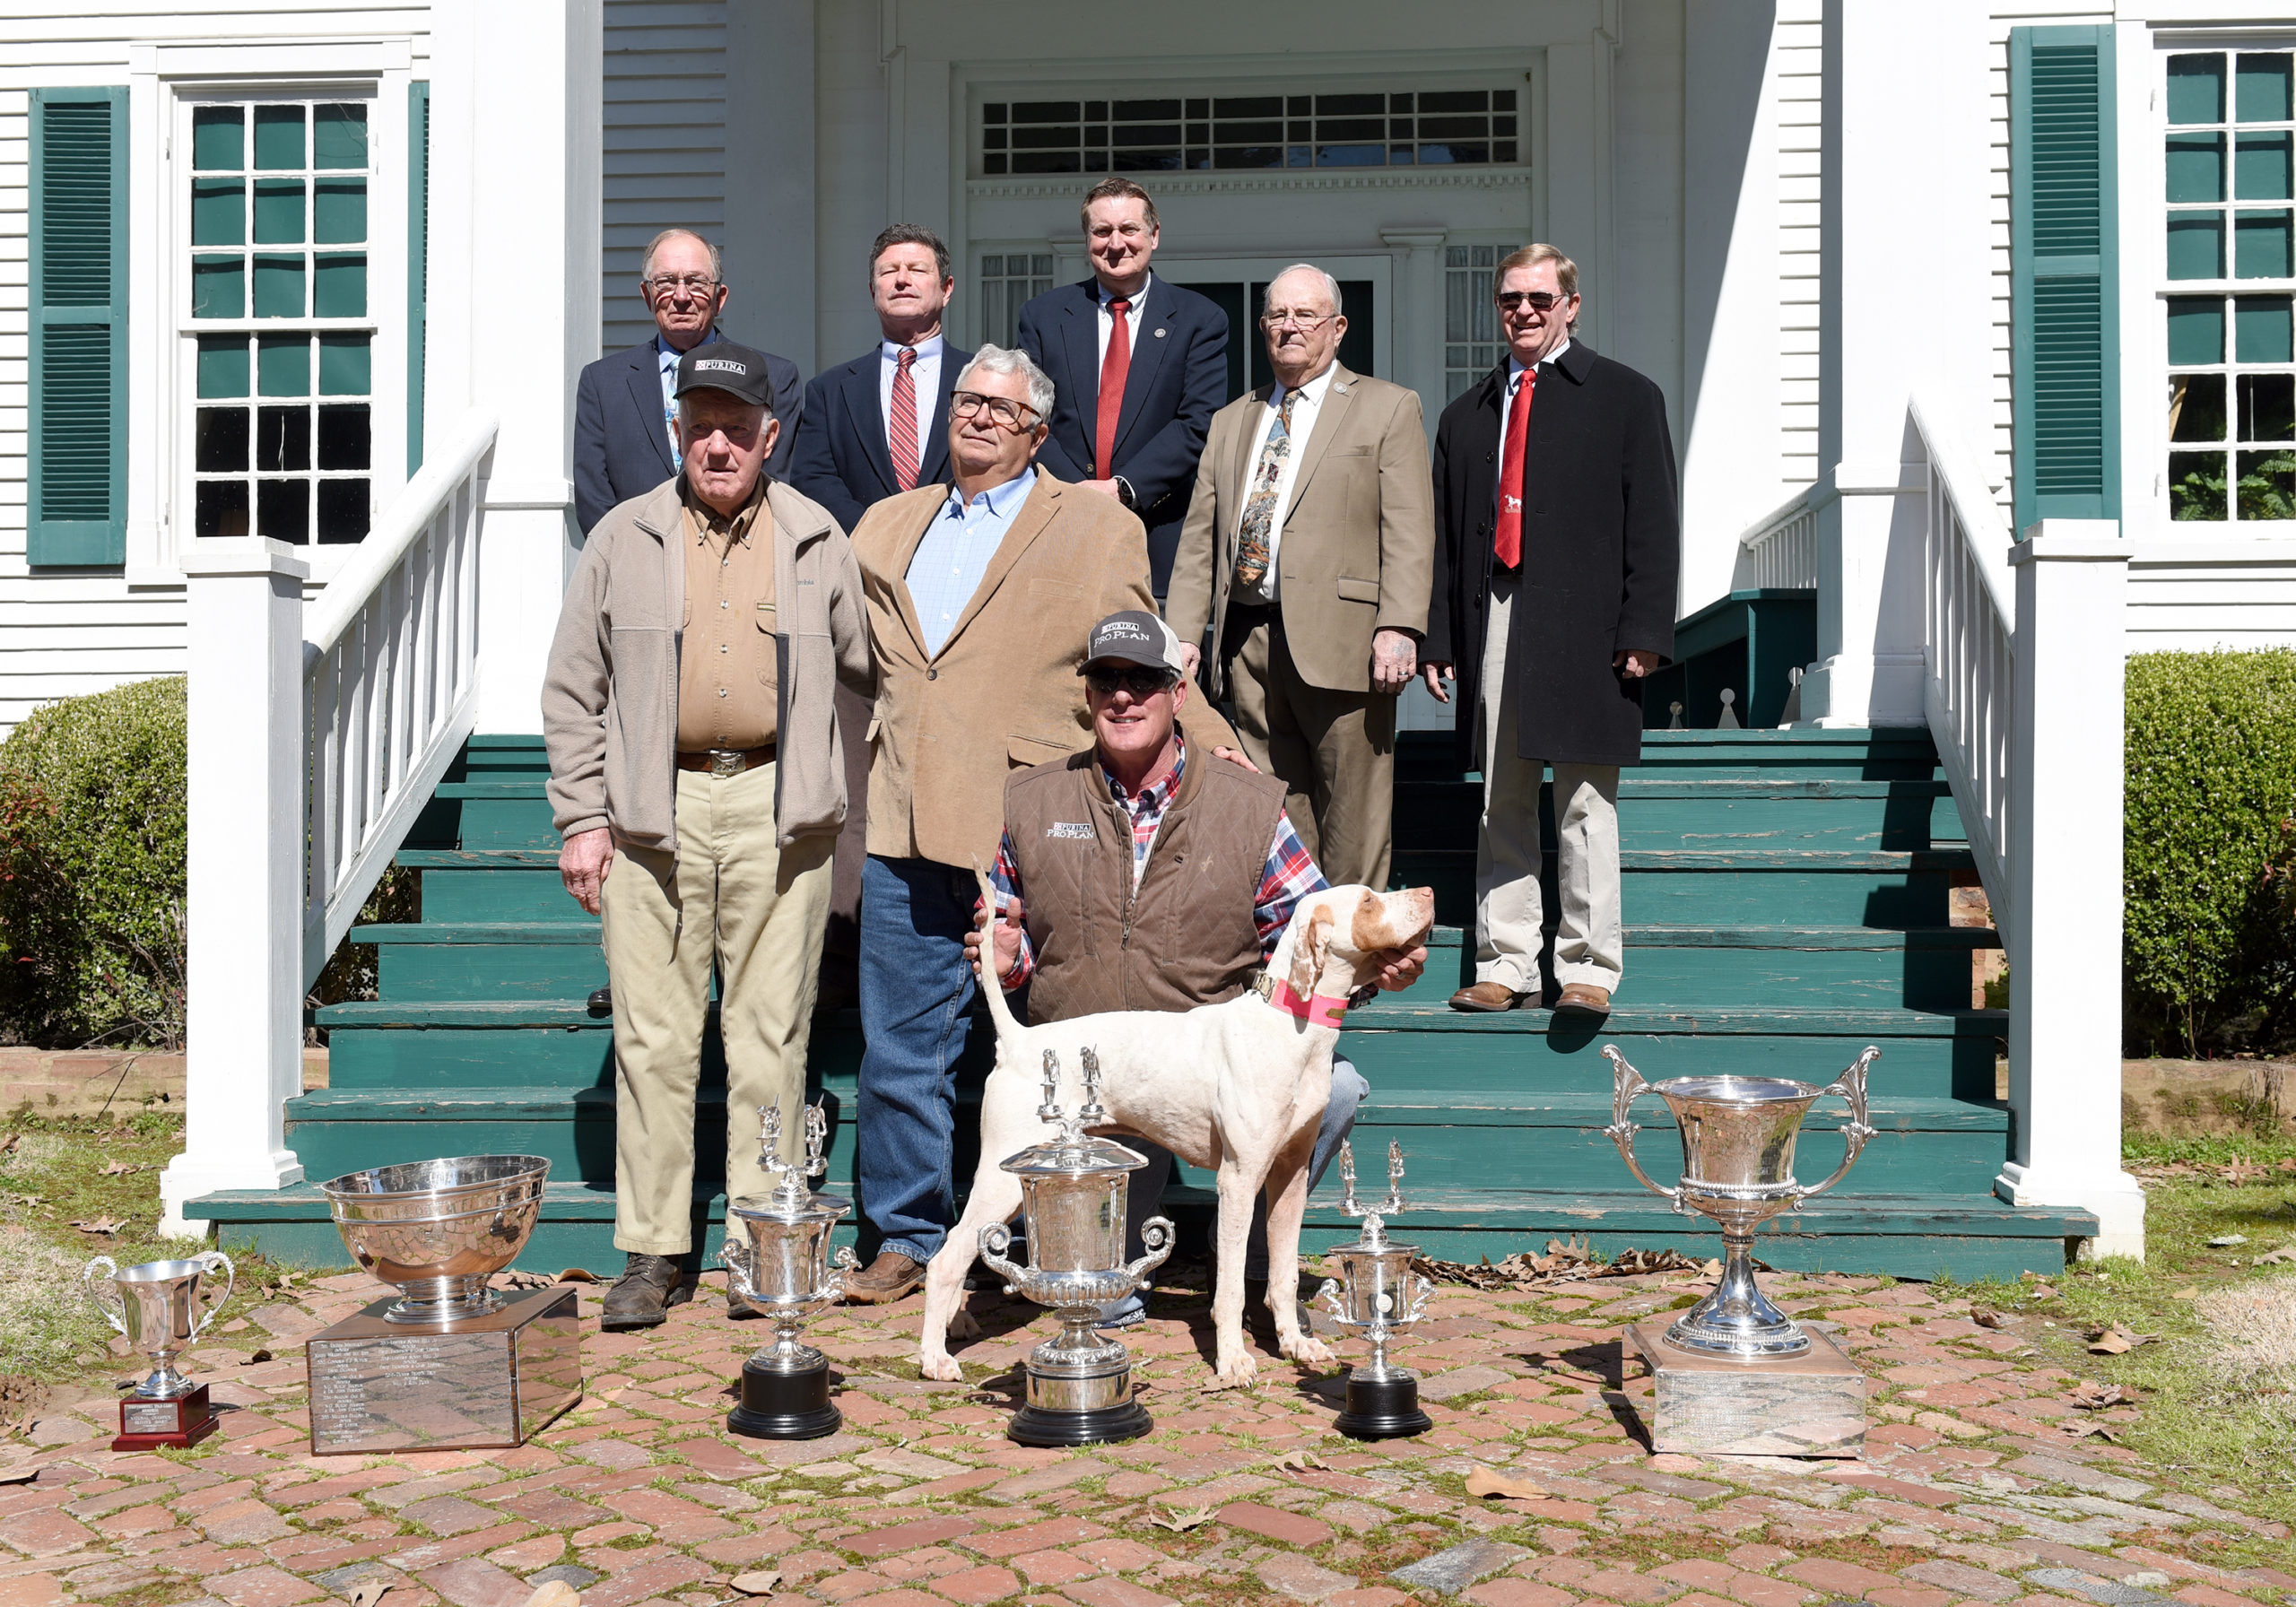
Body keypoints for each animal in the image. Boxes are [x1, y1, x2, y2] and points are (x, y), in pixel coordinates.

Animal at [918, 872, 1432, 1386]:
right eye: (1367, 902)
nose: (1428, 894)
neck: (1290, 1026)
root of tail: (1020, 1040)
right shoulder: (1239, 1179)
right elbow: (1230, 1288)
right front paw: (1233, 1360)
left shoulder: (1289, 1179)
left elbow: (1283, 1276)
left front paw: (1296, 1345)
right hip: (1007, 1176)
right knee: (946, 1257)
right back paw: (934, 1358)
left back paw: (956, 1324)